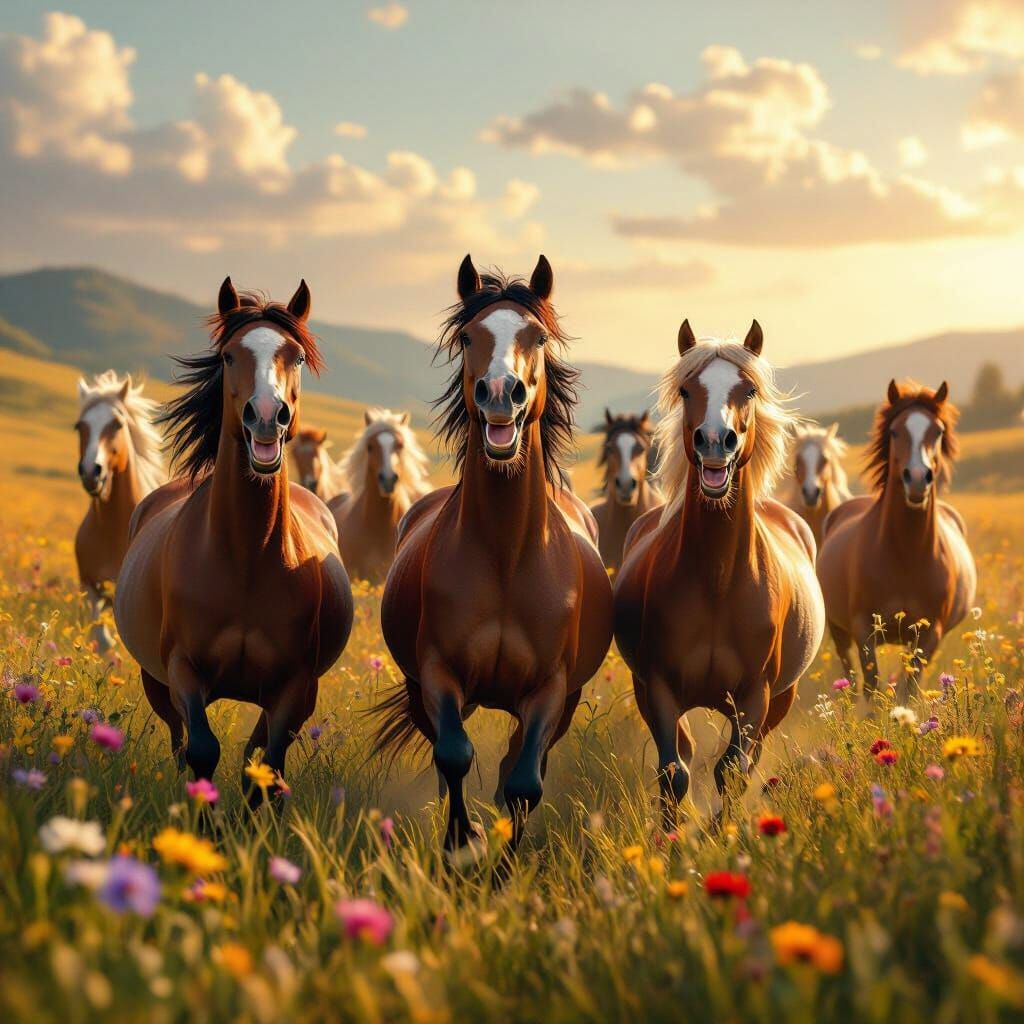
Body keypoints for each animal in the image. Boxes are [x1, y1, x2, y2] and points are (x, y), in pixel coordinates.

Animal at [74, 371, 166, 651]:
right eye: (79, 426)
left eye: (116, 424)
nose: (91, 472)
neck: (112, 527)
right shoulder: (92, 588)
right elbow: (102, 641)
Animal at [114, 278, 354, 803]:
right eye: (227, 356)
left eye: (296, 357)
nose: (266, 416)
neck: (246, 555)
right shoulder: (182, 669)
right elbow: (202, 750)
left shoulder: (294, 687)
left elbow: (267, 767)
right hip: (154, 681)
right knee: (178, 741)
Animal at [372, 254, 614, 853]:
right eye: (467, 336)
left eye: (537, 336)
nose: (501, 393)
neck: (506, 555)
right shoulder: (436, 672)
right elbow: (454, 755)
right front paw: (464, 843)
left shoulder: (552, 690)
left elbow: (524, 781)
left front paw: (503, 861)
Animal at [613, 320, 824, 826]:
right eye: (687, 390)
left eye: (748, 390)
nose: (714, 441)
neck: (717, 580)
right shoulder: (659, 688)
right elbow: (675, 772)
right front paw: (672, 839)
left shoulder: (754, 697)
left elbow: (732, 772)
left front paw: (719, 832)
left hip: (780, 699)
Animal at [816, 379, 976, 699]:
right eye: (894, 431)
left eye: (938, 431)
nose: (916, 478)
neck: (905, 553)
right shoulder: (863, 629)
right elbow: (871, 687)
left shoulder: (929, 635)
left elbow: (909, 690)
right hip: (838, 629)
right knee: (849, 674)